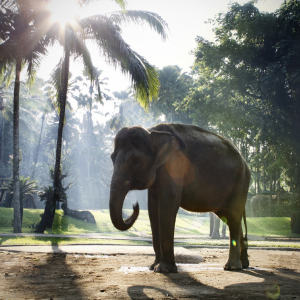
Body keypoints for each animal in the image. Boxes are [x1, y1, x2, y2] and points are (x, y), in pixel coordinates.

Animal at [109, 123, 251, 274]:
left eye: (135, 160)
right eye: (112, 158)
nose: (135, 205)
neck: (153, 132)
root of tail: (244, 161)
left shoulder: (174, 166)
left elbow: (168, 202)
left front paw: (164, 269)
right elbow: (152, 208)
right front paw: (153, 267)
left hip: (240, 183)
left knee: (233, 217)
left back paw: (232, 267)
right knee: (230, 218)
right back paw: (244, 264)